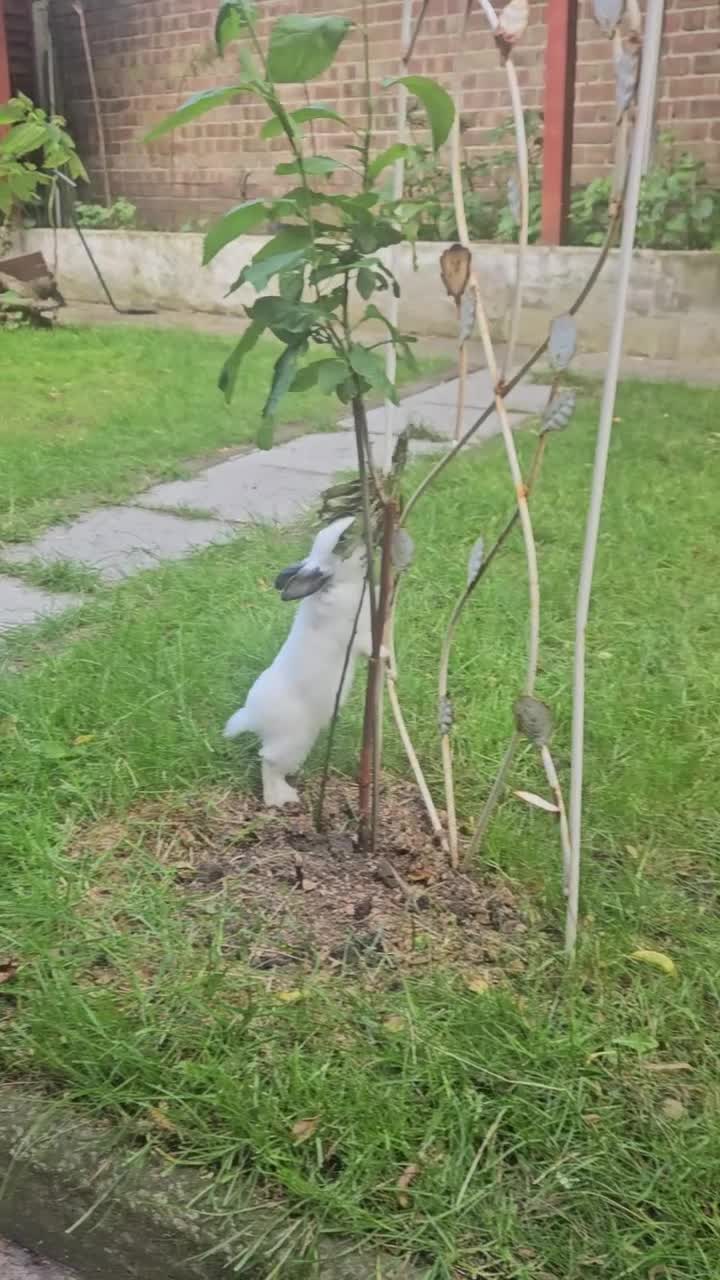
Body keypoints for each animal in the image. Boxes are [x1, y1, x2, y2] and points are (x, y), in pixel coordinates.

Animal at [223, 516, 374, 807]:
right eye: (341, 538)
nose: (364, 523)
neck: (339, 585)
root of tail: (253, 717)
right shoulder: (359, 636)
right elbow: (374, 648)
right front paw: (389, 663)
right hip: (292, 742)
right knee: (268, 762)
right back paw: (281, 798)